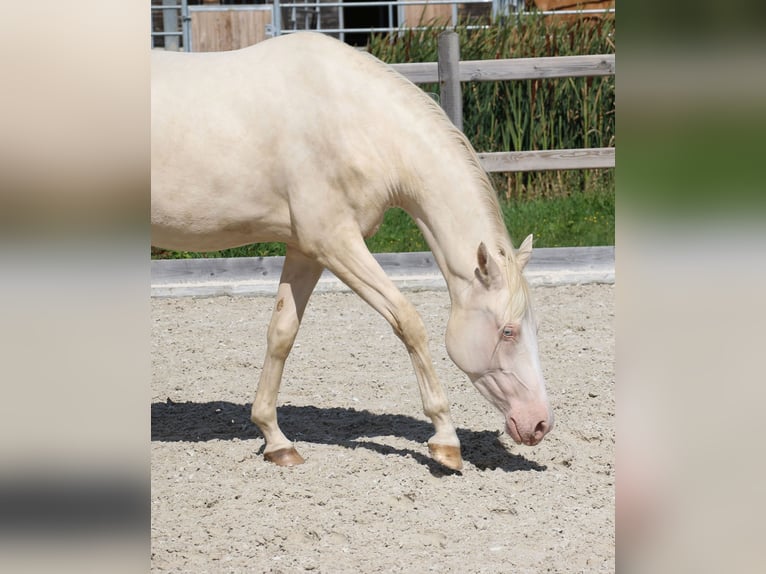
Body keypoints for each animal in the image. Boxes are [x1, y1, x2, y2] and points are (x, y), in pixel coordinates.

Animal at [151, 32, 553, 471]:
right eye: (508, 331)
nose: (539, 424)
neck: (355, 120)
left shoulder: (305, 250)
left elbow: (282, 333)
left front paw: (276, 441)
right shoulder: (335, 243)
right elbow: (408, 321)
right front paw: (446, 441)